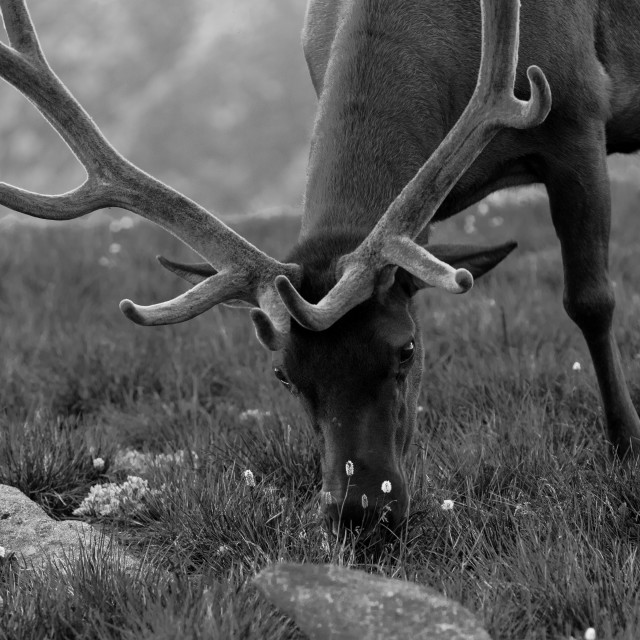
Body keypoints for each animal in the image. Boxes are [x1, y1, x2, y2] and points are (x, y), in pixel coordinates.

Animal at [0, 1, 636, 536]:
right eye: (283, 374)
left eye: (406, 350)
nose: (358, 513)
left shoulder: (577, 116)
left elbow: (591, 299)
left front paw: (627, 445)